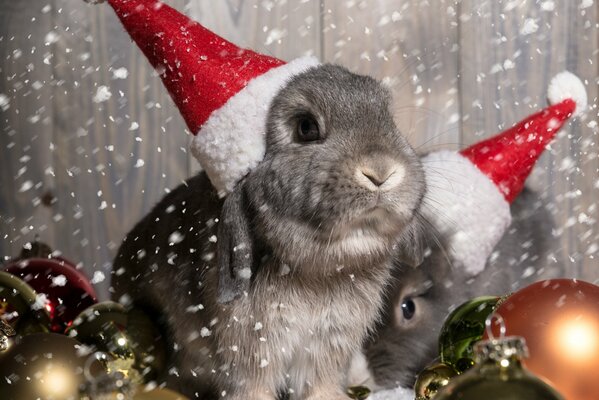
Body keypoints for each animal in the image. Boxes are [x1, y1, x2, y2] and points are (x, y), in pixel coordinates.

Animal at [112, 65, 428, 400]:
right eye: (306, 127)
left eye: (389, 120)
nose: (381, 172)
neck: (319, 270)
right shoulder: (249, 348)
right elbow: (253, 386)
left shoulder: (326, 347)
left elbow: (320, 386)